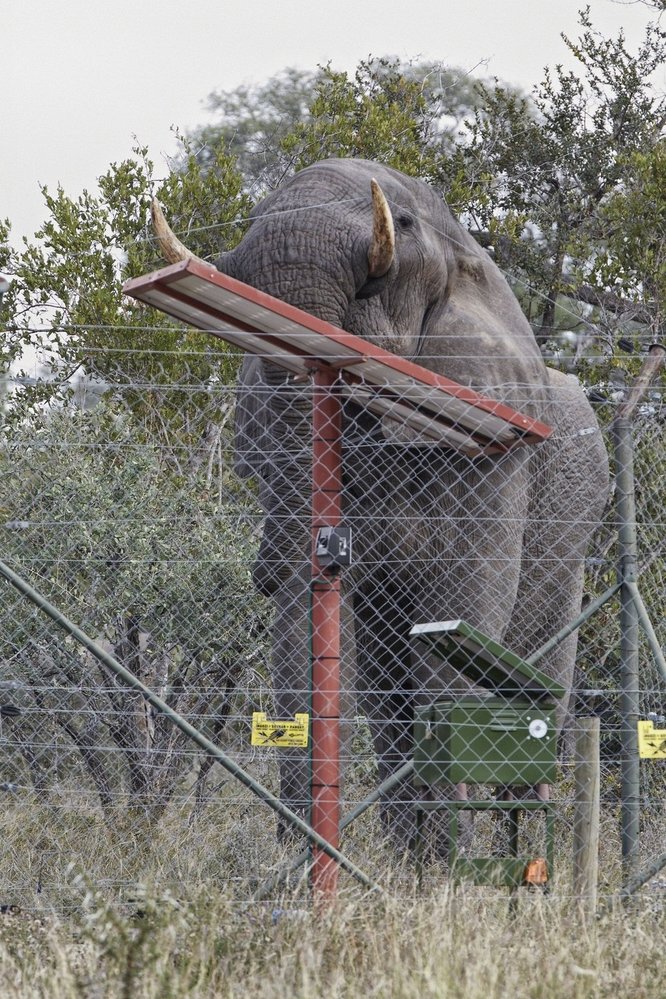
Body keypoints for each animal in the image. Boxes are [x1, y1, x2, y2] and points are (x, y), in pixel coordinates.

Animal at [153, 160, 608, 848]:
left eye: (405, 222)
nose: (261, 568)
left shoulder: (499, 453)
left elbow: (459, 612)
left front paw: (452, 866)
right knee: (384, 697)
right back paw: (407, 854)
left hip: (571, 553)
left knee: (540, 696)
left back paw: (523, 852)